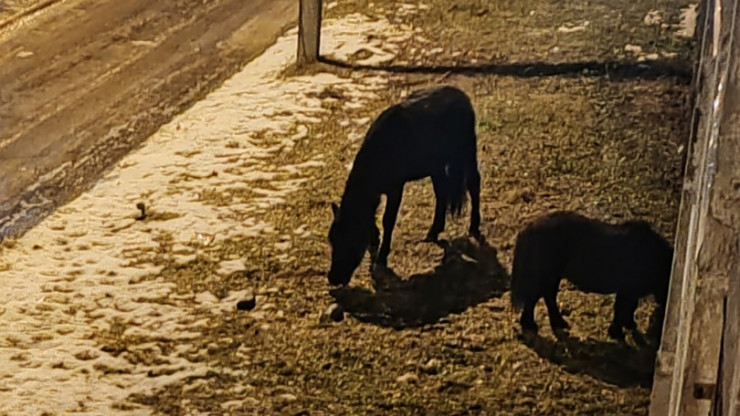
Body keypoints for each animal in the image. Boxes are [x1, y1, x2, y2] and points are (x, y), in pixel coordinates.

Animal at [326, 84, 482, 286]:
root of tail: (461, 95)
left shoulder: (395, 187)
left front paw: (381, 257)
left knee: (473, 183)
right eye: (331, 240)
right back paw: (433, 232)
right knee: (442, 193)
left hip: (467, 150)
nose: (333, 278)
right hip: (437, 165)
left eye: (349, 241)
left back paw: (474, 227)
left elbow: (388, 220)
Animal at [512, 211, 672, 342]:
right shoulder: (627, 291)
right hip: (544, 275)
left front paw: (628, 325)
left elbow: (629, 308)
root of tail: (529, 228)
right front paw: (617, 333)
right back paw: (531, 326)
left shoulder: (630, 292)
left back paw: (558, 323)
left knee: (547, 297)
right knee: (533, 299)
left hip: (552, 276)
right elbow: (621, 309)